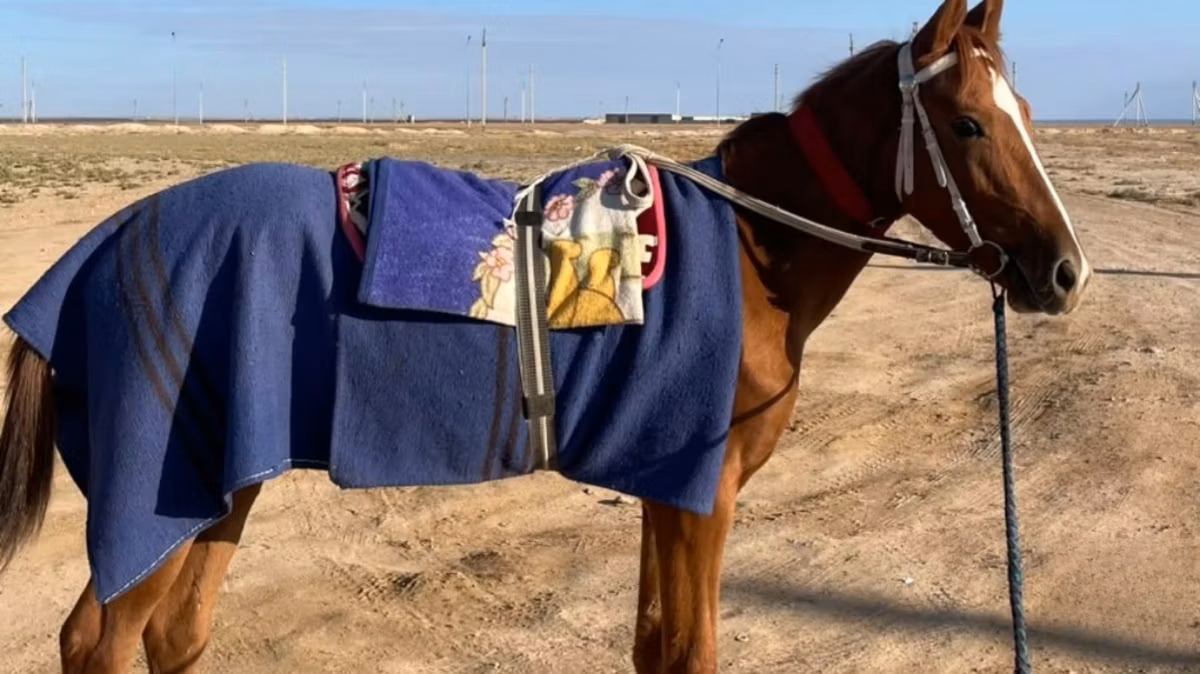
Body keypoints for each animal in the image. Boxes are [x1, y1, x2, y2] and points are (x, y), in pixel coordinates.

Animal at [0, 0, 1090, 671]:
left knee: (174, 635)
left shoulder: (667, 489)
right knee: (100, 642)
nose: (1065, 271)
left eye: (1028, 110)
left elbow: (655, 647)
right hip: (163, 492)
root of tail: (97, 250)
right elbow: (691, 650)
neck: (752, 250)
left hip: (225, 480)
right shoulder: (701, 493)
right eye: (968, 124)